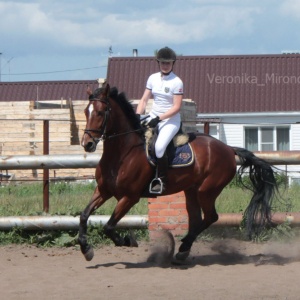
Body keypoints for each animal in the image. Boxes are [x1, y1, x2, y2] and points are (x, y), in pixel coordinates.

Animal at [78, 83, 278, 262]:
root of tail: (228, 149)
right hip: (192, 190)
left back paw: (183, 247)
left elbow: (109, 226)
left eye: (101, 112)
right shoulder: (103, 191)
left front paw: (127, 240)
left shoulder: (129, 197)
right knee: (197, 219)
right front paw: (86, 248)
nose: (87, 144)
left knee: (211, 217)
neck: (123, 153)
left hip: (207, 191)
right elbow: (84, 215)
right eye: (86, 111)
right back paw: (183, 251)